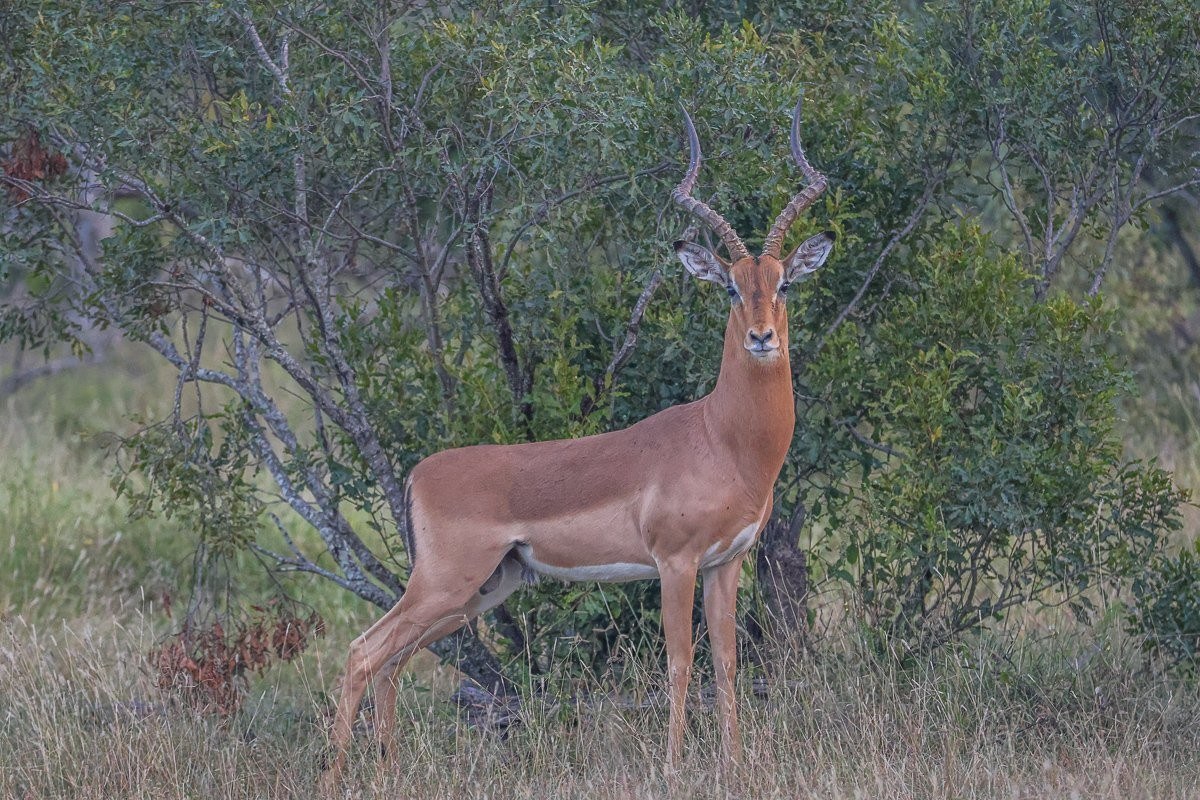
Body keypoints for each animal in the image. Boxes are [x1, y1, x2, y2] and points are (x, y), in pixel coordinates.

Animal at [323, 97, 833, 784]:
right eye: (730, 285)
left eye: (783, 283)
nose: (760, 338)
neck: (723, 440)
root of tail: (418, 473)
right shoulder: (674, 563)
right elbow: (679, 663)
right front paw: (673, 768)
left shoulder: (725, 563)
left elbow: (726, 664)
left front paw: (736, 765)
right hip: (446, 584)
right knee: (362, 652)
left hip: (482, 590)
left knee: (390, 662)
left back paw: (389, 774)